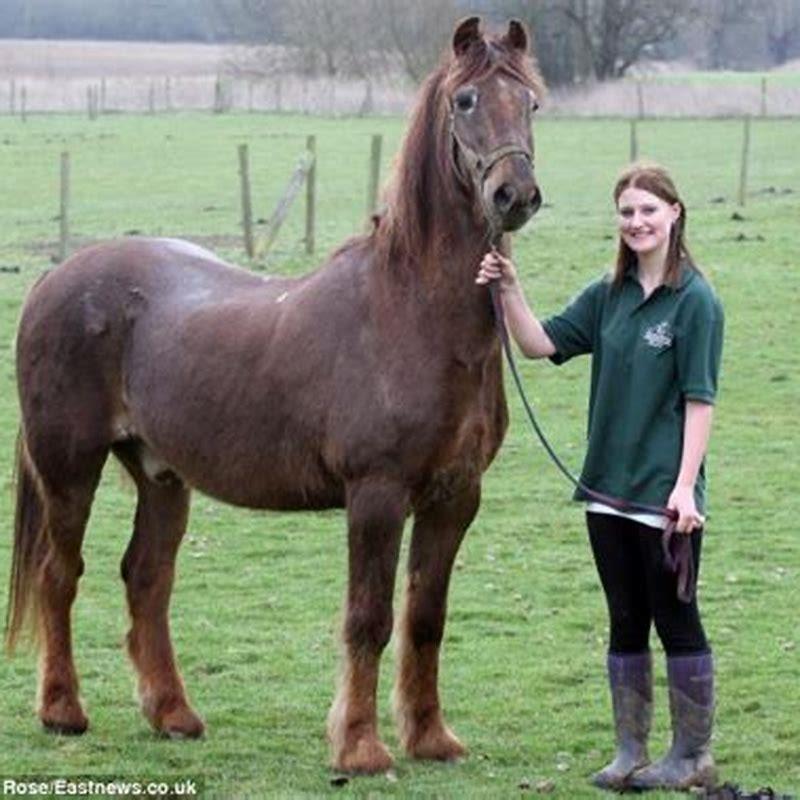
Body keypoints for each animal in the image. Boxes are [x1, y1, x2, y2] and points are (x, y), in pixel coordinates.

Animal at [4, 15, 544, 772]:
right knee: (61, 573)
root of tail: (55, 279)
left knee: (147, 578)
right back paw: (62, 711)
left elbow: (425, 619)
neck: (409, 312)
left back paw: (173, 714)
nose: (514, 194)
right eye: (465, 100)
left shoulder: (454, 498)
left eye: (530, 101)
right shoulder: (376, 495)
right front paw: (360, 747)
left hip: (161, 475)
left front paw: (431, 738)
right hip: (69, 469)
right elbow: (369, 618)